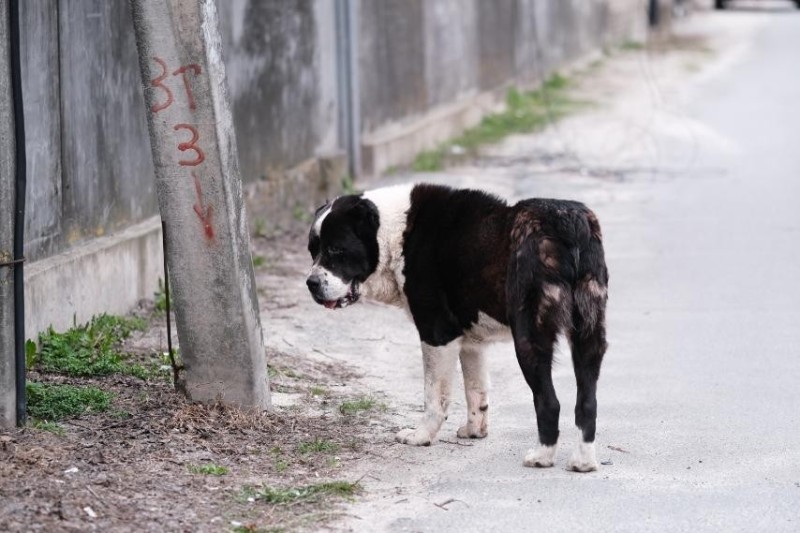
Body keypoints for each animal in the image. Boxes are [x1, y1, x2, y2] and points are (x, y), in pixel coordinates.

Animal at [304, 183, 608, 470]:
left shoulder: (437, 335)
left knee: (549, 401)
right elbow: (476, 390)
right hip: (589, 337)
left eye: (336, 250)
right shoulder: (472, 344)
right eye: (312, 251)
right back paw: (583, 462)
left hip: (529, 340)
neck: (393, 234)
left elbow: (434, 396)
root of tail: (569, 224)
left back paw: (542, 456)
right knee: (588, 402)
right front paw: (475, 431)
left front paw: (421, 436)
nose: (311, 283)